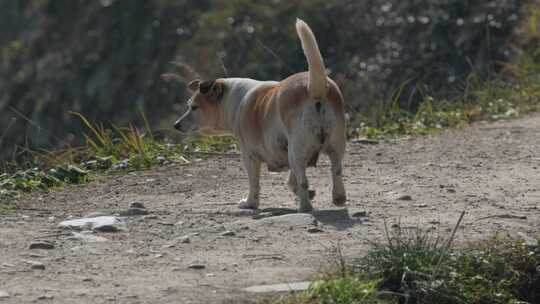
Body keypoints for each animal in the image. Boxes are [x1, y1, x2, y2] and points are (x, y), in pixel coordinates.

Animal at [175, 18, 348, 211]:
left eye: (194, 107)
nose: (176, 125)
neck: (231, 97)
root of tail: (313, 88)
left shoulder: (249, 155)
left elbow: (254, 183)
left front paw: (250, 203)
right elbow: (291, 180)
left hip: (297, 150)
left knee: (303, 179)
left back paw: (305, 207)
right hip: (334, 145)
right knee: (336, 170)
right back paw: (338, 197)